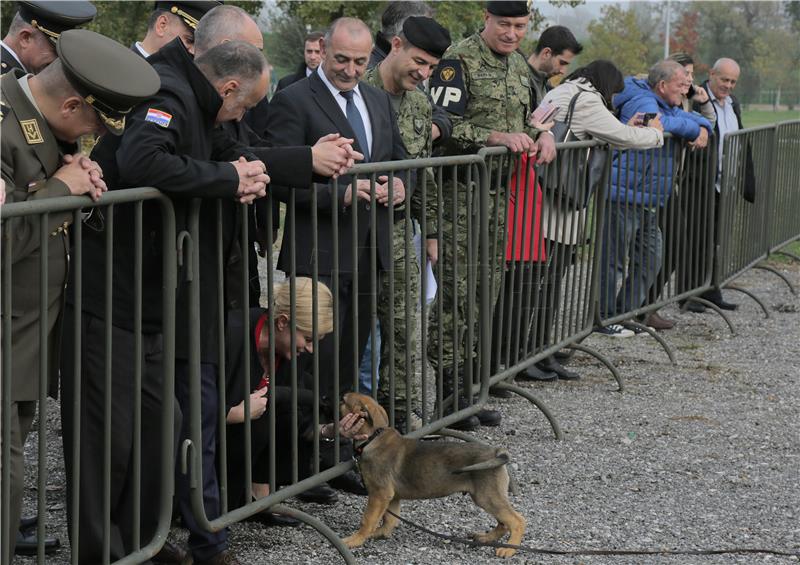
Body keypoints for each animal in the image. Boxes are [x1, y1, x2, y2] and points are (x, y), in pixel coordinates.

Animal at [340, 390, 528, 556]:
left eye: (343, 400)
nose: (333, 398)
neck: (374, 437)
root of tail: (497, 452)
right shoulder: (391, 496)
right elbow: (389, 519)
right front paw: (380, 533)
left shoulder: (379, 494)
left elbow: (367, 519)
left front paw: (356, 539)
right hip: (488, 496)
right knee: (503, 523)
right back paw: (485, 538)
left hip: (487, 496)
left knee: (517, 520)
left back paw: (509, 549)